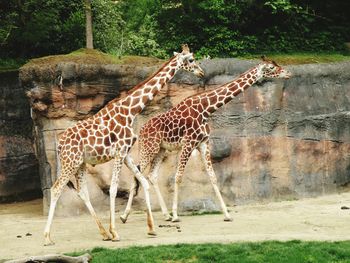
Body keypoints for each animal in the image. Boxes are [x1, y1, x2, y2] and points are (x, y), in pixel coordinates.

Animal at [43, 44, 205, 245]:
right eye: (191, 59)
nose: (201, 72)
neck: (130, 111)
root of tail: (59, 144)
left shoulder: (126, 153)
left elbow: (142, 181)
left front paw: (150, 228)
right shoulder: (119, 152)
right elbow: (113, 189)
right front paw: (116, 232)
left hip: (80, 164)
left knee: (82, 192)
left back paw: (103, 233)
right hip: (69, 162)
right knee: (56, 188)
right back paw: (48, 237)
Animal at [120, 56, 292, 224]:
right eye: (271, 67)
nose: (288, 73)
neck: (205, 109)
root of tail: (142, 129)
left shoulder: (203, 143)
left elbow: (213, 177)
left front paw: (227, 214)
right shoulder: (188, 143)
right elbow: (178, 177)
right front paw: (176, 215)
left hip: (161, 150)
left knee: (151, 175)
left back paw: (164, 214)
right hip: (149, 148)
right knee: (137, 174)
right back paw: (125, 215)